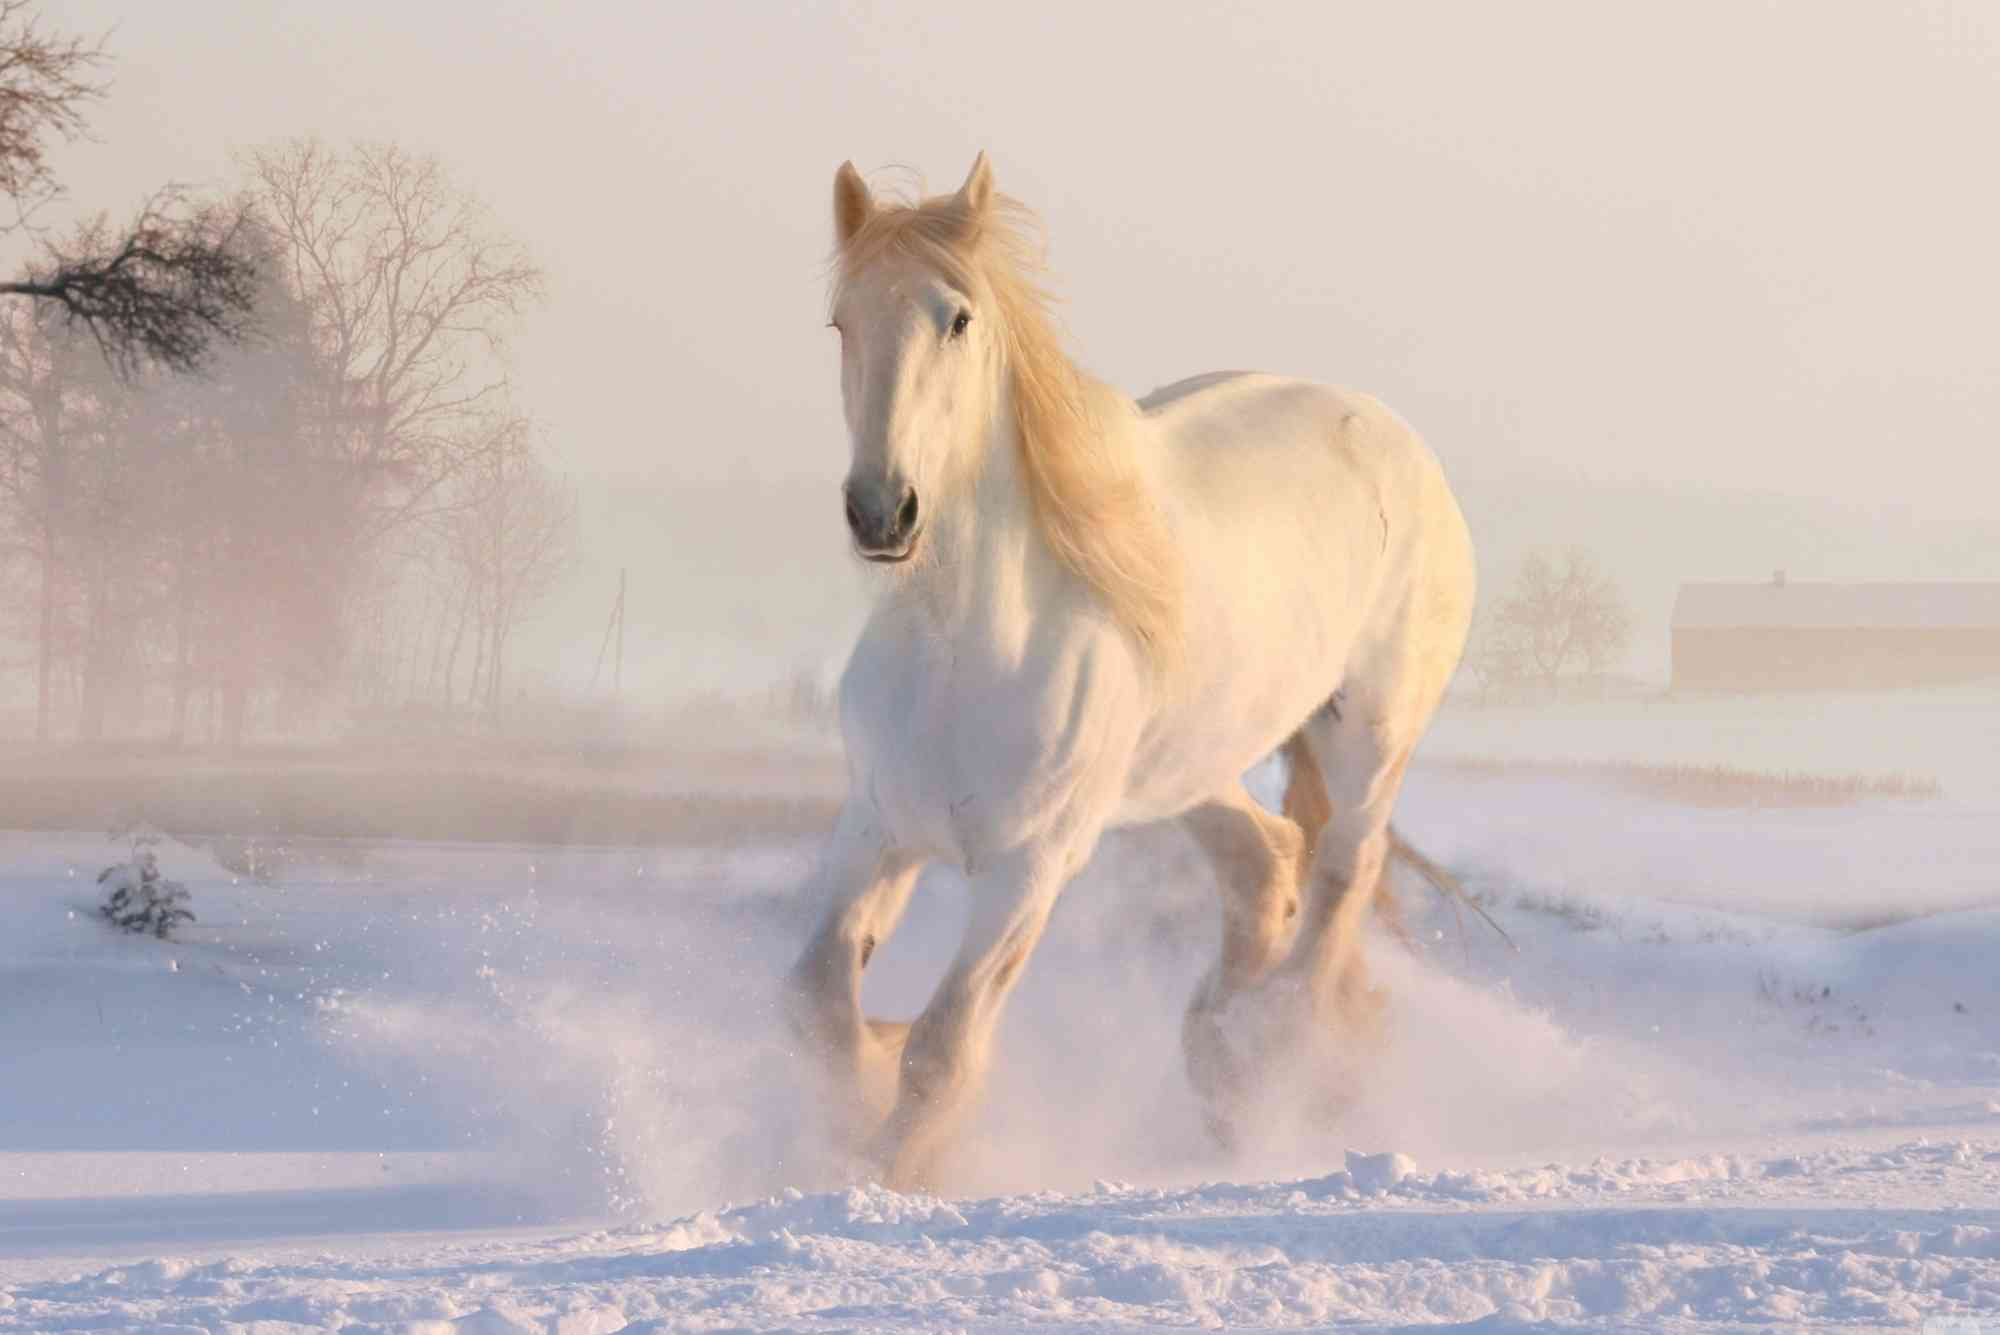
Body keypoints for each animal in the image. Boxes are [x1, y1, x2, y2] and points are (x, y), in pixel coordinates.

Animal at [786, 152, 1476, 1189]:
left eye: (958, 318)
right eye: (841, 321)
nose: (882, 511)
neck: (965, 649)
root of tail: (1402, 442)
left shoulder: (1029, 868)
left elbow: (943, 1049)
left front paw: (894, 1168)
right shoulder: (876, 828)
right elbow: (821, 1006)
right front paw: (860, 1095)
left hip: (1369, 737)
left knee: (1341, 876)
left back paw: (1269, 1052)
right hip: (1188, 768)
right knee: (1267, 861)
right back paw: (1220, 1054)